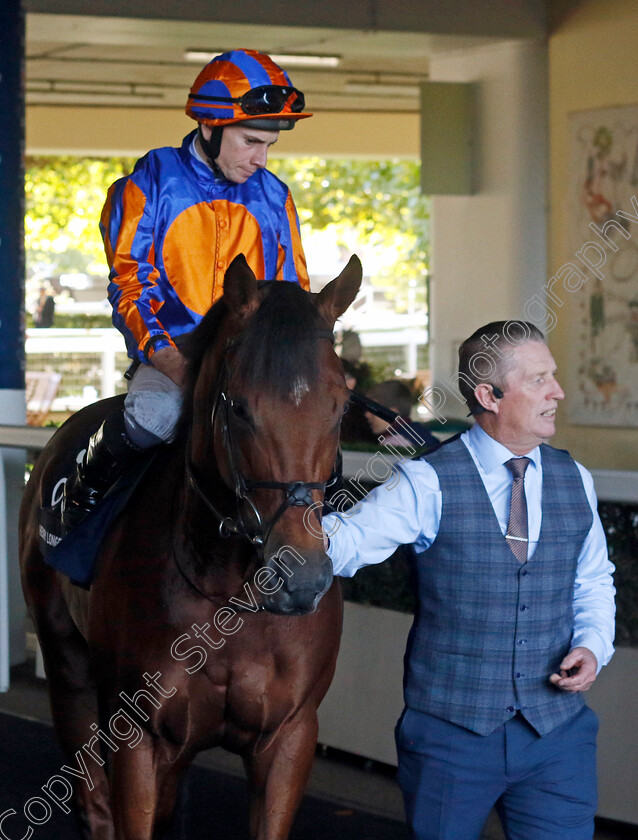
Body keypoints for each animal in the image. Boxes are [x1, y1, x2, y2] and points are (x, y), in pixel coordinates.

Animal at [17, 253, 362, 836]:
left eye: (338, 409)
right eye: (240, 407)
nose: (301, 578)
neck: (230, 596)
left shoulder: (290, 735)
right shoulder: (137, 737)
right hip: (68, 671)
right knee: (94, 804)